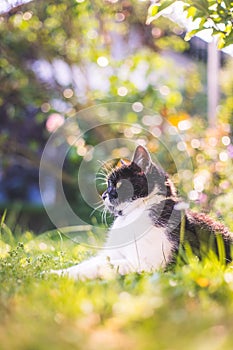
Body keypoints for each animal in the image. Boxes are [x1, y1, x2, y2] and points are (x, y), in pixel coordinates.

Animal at [52, 144, 232, 278]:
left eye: (115, 184)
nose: (103, 195)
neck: (131, 215)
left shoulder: (144, 263)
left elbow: (99, 267)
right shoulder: (112, 254)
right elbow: (85, 264)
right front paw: (54, 273)